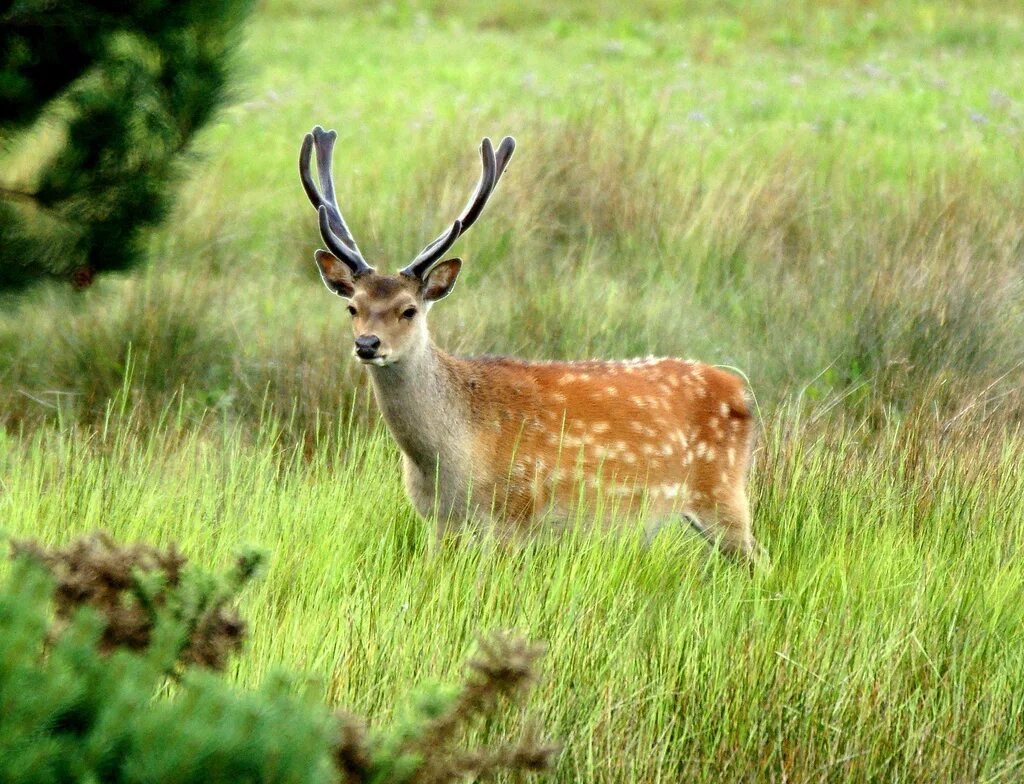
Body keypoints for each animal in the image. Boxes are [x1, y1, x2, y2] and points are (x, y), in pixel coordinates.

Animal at [296, 124, 761, 564]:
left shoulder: (515, 516)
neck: (445, 463)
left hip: (723, 494)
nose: (367, 344)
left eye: (408, 309)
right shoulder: (438, 523)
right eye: (352, 307)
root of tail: (741, 391)